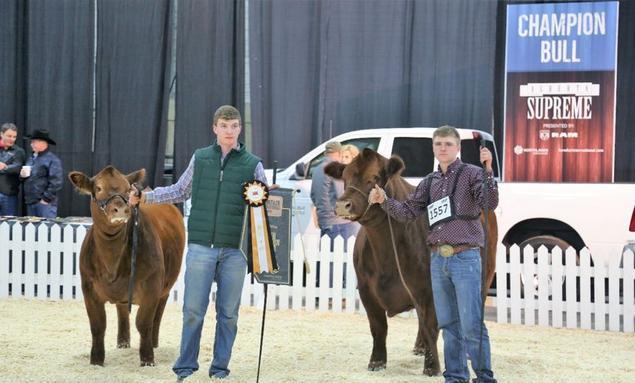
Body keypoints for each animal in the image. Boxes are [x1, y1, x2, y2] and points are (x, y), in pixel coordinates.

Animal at [68, 166, 185, 368]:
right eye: (98, 188)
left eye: (127, 189)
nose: (121, 209)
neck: (111, 260)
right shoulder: (88, 288)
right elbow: (98, 325)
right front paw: (96, 360)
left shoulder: (152, 285)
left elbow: (144, 323)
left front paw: (147, 359)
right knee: (122, 310)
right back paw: (123, 342)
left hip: (166, 285)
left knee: (158, 312)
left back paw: (154, 342)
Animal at [326, 150, 500, 378]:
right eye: (345, 178)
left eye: (374, 178)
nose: (342, 205)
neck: (385, 252)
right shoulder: (366, 290)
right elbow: (378, 327)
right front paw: (376, 362)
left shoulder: (430, 288)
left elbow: (432, 326)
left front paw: (432, 367)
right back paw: (420, 346)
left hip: (483, 277)